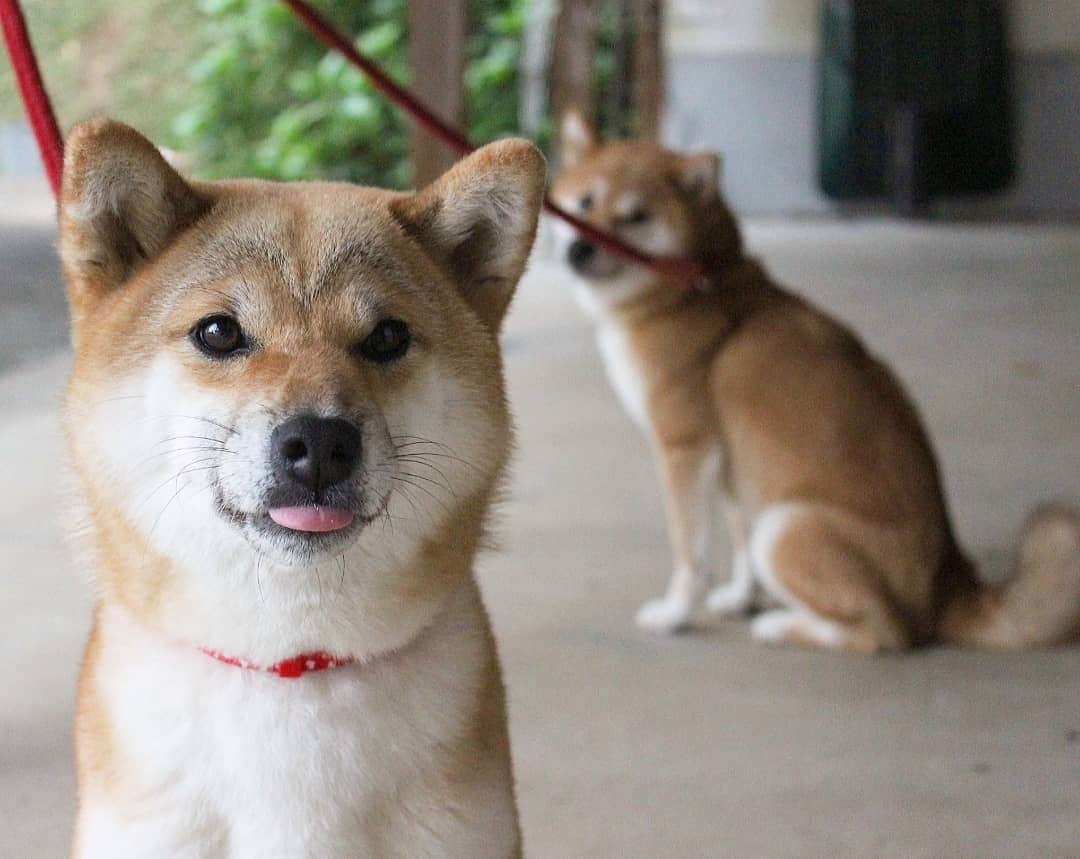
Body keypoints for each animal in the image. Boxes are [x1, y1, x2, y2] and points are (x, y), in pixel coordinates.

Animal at [552, 110, 1075, 656]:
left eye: (635, 216)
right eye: (585, 201)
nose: (578, 248)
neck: (691, 290)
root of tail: (949, 587)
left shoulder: (686, 448)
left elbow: (690, 553)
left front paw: (676, 614)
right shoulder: (735, 461)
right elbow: (738, 540)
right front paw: (741, 597)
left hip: (787, 527)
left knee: (885, 633)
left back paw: (782, 626)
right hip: (775, 512)